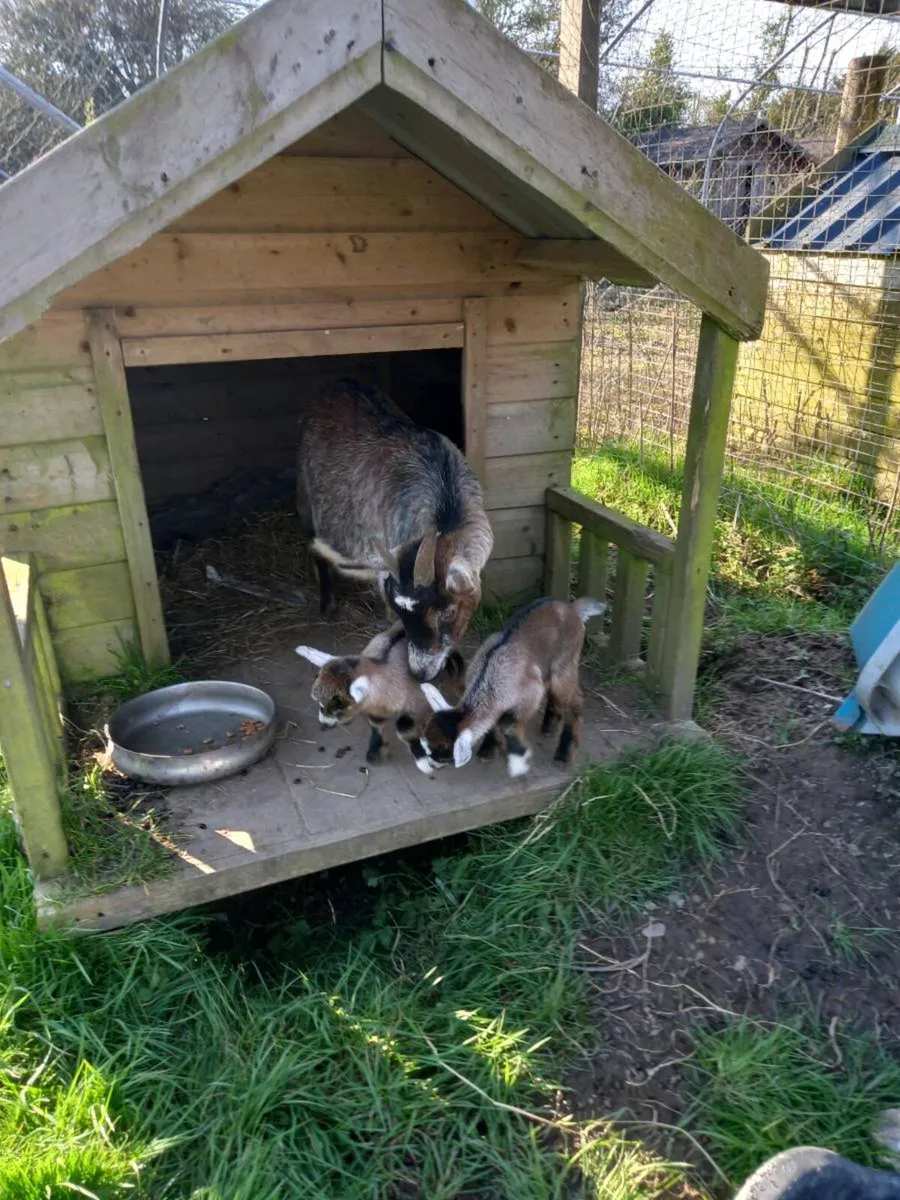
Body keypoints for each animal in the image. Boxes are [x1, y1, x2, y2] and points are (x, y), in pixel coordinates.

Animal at [295, 623, 465, 776]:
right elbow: (376, 725)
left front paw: (424, 763)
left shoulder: (416, 702)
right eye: (320, 705)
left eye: (338, 708)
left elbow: (404, 728)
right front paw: (375, 752)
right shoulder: (374, 710)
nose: (324, 725)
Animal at [297, 379, 493, 682]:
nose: (420, 673)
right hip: (305, 495)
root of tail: (337, 383)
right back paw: (326, 603)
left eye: (448, 612)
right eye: (403, 615)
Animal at [419, 596, 606, 778]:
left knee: (574, 700)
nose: (431, 765)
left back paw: (563, 754)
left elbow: (506, 724)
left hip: (565, 665)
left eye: (442, 751)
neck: (488, 676)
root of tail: (573, 608)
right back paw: (549, 727)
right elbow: (494, 721)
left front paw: (517, 761)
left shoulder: (531, 694)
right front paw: (488, 750)